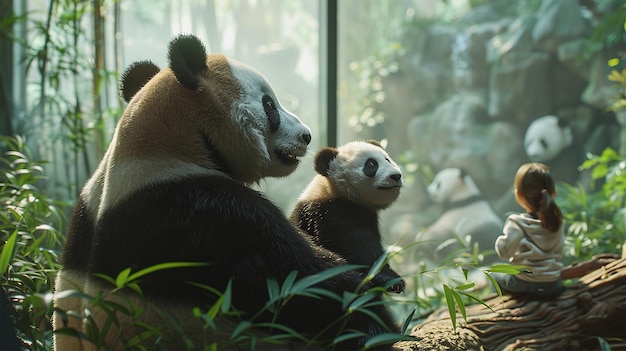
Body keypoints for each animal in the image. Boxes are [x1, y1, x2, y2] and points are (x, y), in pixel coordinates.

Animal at [288, 140, 404, 294]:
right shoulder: (328, 215)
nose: (396, 176)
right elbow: (357, 247)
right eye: (371, 164)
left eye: (388, 160)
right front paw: (390, 278)